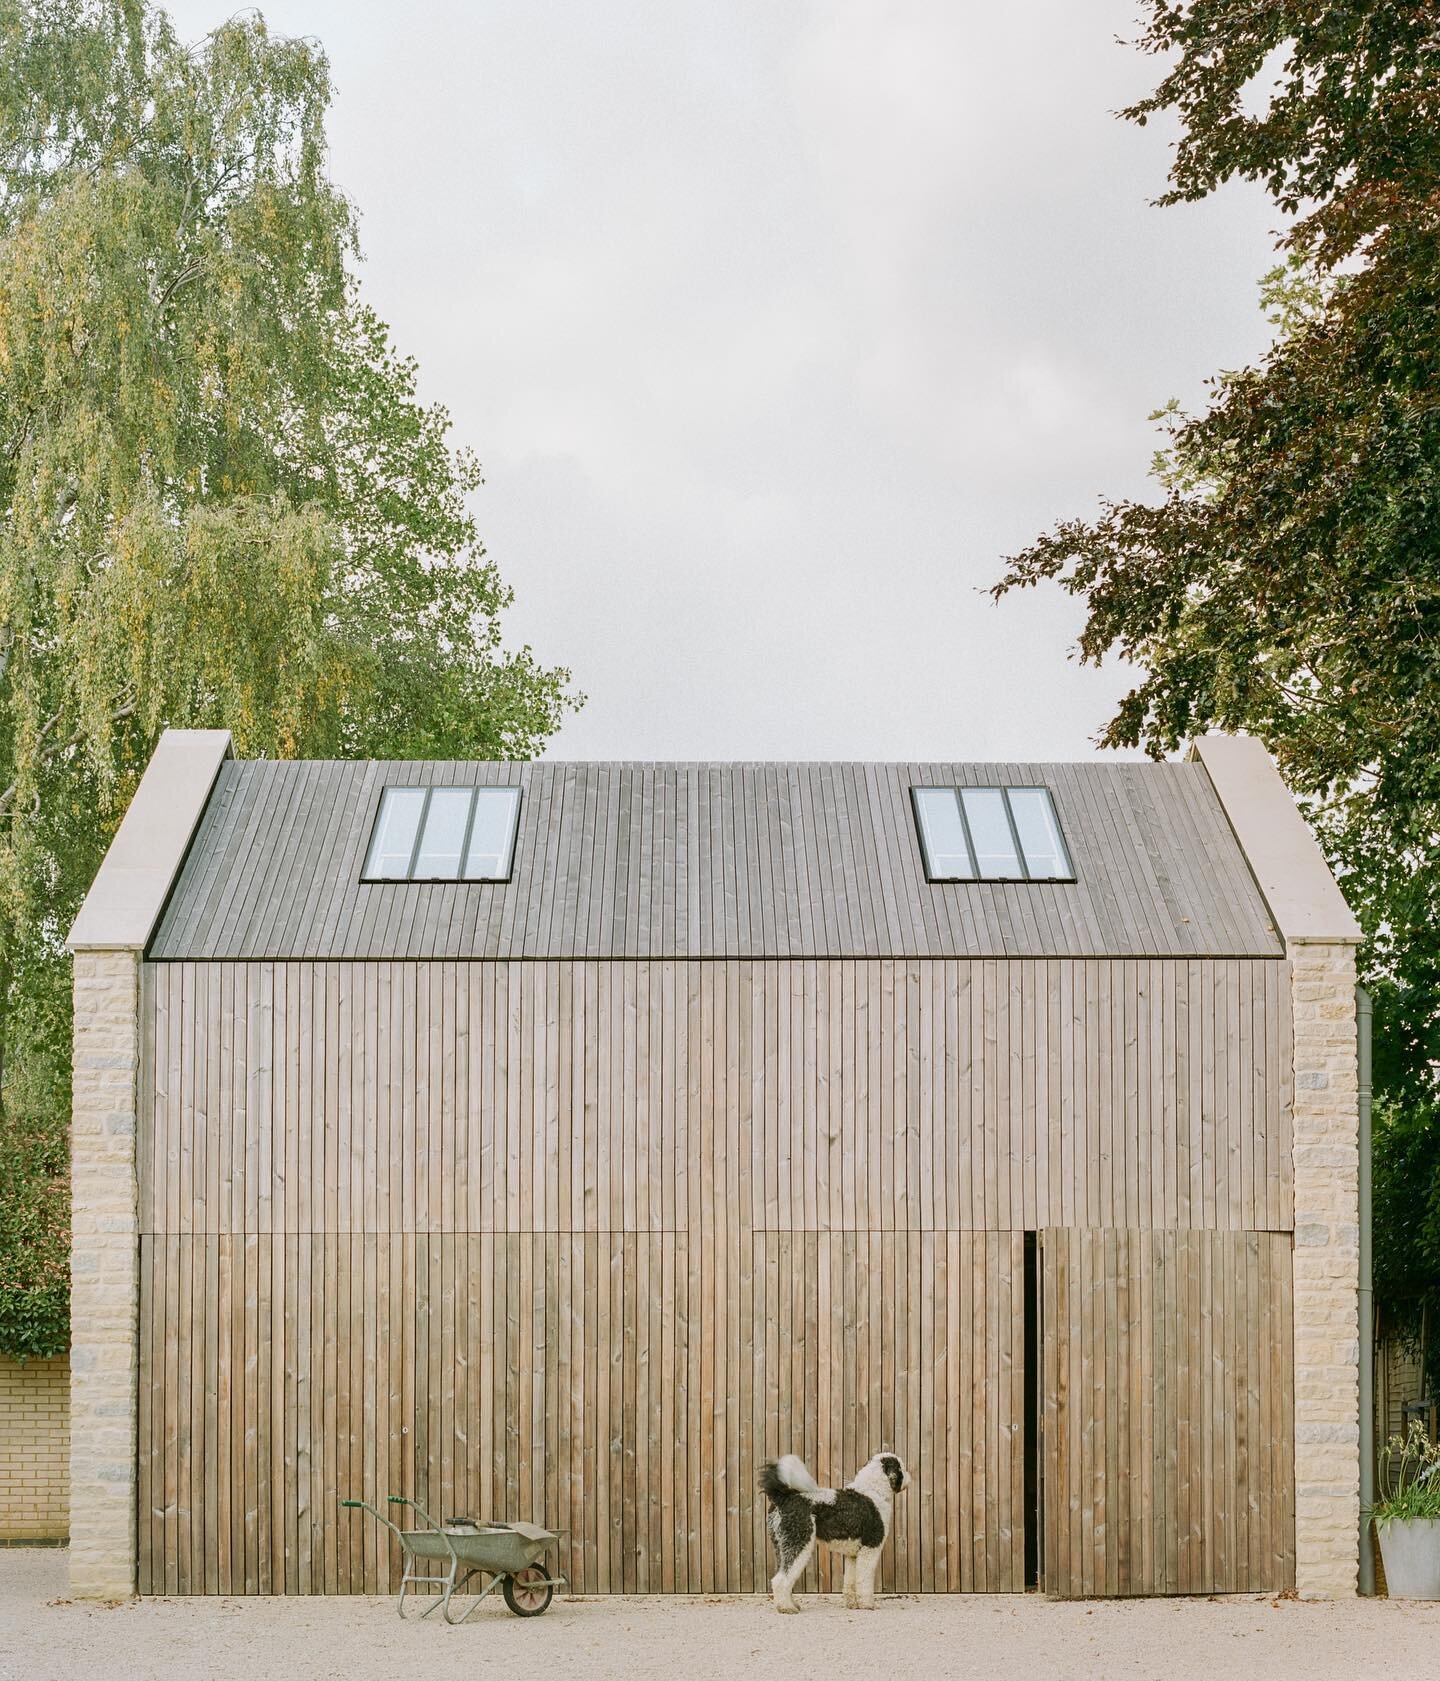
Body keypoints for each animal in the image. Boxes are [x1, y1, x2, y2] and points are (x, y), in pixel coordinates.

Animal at [759, 1452, 907, 1607]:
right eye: (901, 1467)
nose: (909, 1476)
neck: (873, 1490)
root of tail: (783, 1496)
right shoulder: (870, 1549)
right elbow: (864, 1580)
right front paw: (867, 1604)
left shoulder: (853, 1555)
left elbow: (850, 1581)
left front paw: (852, 1604)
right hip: (798, 1542)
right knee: (780, 1580)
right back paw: (787, 1608)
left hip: (782, 1546)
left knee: (782, 1575)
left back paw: (791, 1604)